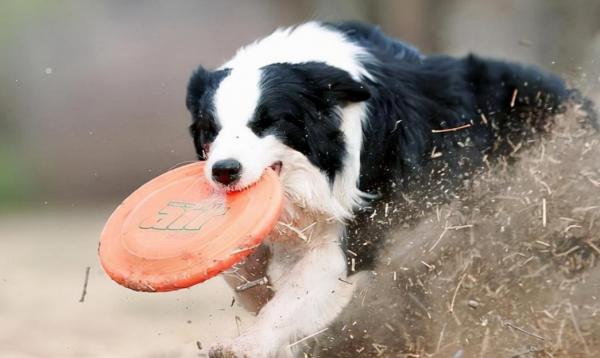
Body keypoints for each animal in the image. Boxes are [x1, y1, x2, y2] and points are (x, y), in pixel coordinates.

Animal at [185, 21, 580, 356]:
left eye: (267, 122)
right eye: (210, 129)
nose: (223, 171)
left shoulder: (352, 230)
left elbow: (293, 296)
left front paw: (248, 345)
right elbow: (243, 269)